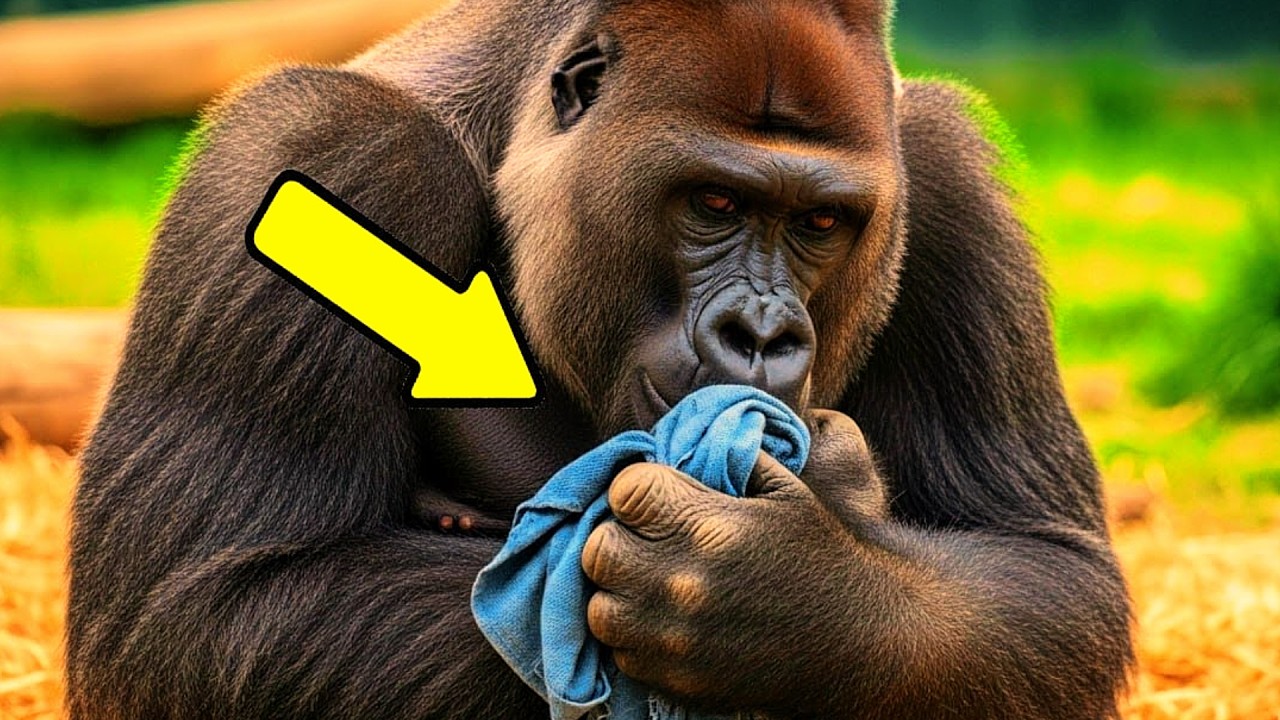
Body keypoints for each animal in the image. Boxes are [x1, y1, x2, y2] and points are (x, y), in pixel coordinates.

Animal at [67, 0, 1133, 718]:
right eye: (713, 203)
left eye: (822, 223)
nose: (762, 335)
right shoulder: (321, 149)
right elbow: (207, 617)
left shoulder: (945, 180)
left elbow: (1050, 576)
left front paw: (794, 600)